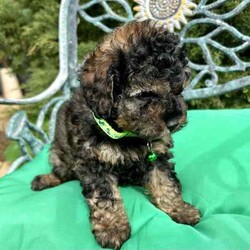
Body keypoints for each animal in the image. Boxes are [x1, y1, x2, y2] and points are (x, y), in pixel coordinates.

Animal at [31, 20, 200, 249]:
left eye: (178, 89)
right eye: (144, 94)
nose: (174, 122)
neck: (125, 131)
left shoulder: (157, 154)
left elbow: (165, 181)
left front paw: (179, 209)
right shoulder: (93, 161)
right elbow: (104, 196)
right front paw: (112, 228)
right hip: (59, 154)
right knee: (62, 172)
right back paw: (44, 180)